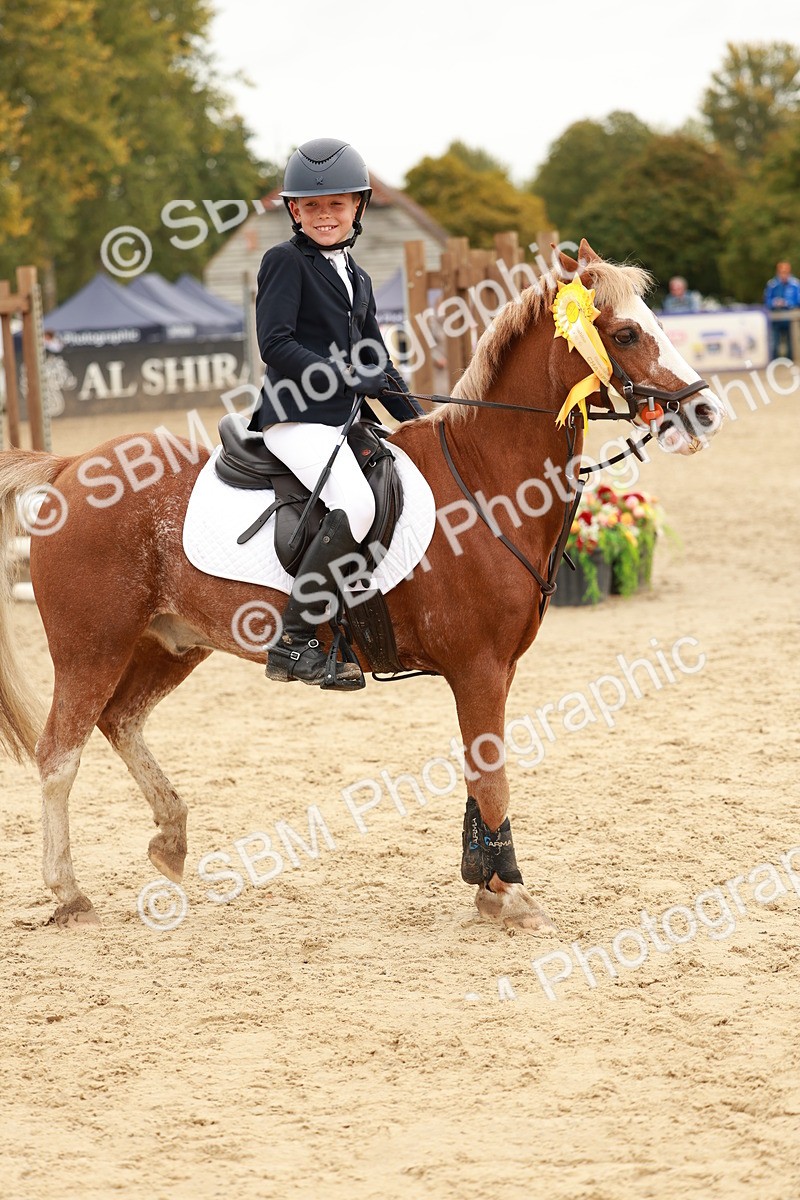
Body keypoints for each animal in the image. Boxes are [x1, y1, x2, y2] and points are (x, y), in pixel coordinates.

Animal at [0, 241, 725, 931]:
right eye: (625, 334)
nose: (705, 411)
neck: (486, 477)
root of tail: (69, 467)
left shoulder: (496, 671)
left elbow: (479, 770)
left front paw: (486, 885)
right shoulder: (479, 668)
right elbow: (491, 776)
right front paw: (515, 895)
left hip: (168, 643)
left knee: (119, 721)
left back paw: (171, 839)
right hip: (92, 648)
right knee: (60, 752)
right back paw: (69, 893)